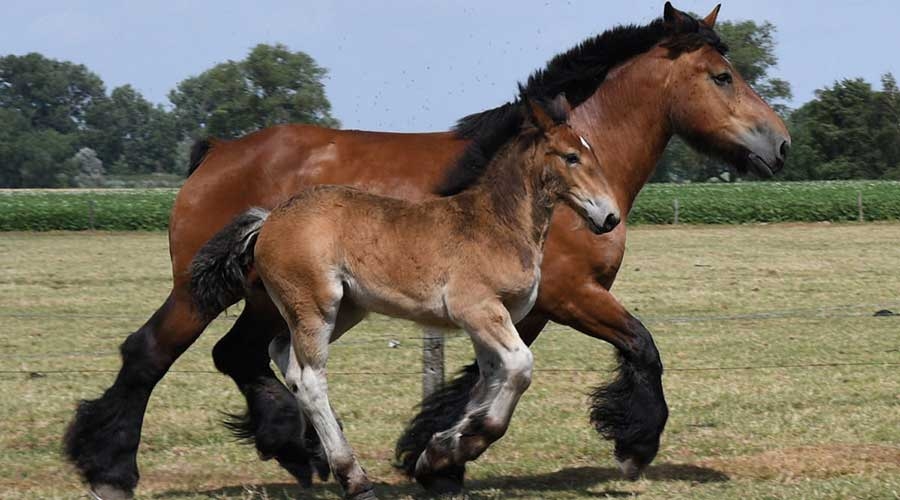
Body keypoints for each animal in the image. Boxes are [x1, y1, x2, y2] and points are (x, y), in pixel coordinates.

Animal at [63, 4, 788, 500]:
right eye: (722, 76)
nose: (779, 144)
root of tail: (217, 151)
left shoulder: (523, 309)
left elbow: (476, 383)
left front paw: (437, 458)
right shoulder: (571, 296)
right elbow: (641, 346)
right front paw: (635, 445)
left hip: (279, 301)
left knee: (245, 357)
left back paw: (302, 453)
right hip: (209, 292)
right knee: (152, 353)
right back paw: (112, 468)